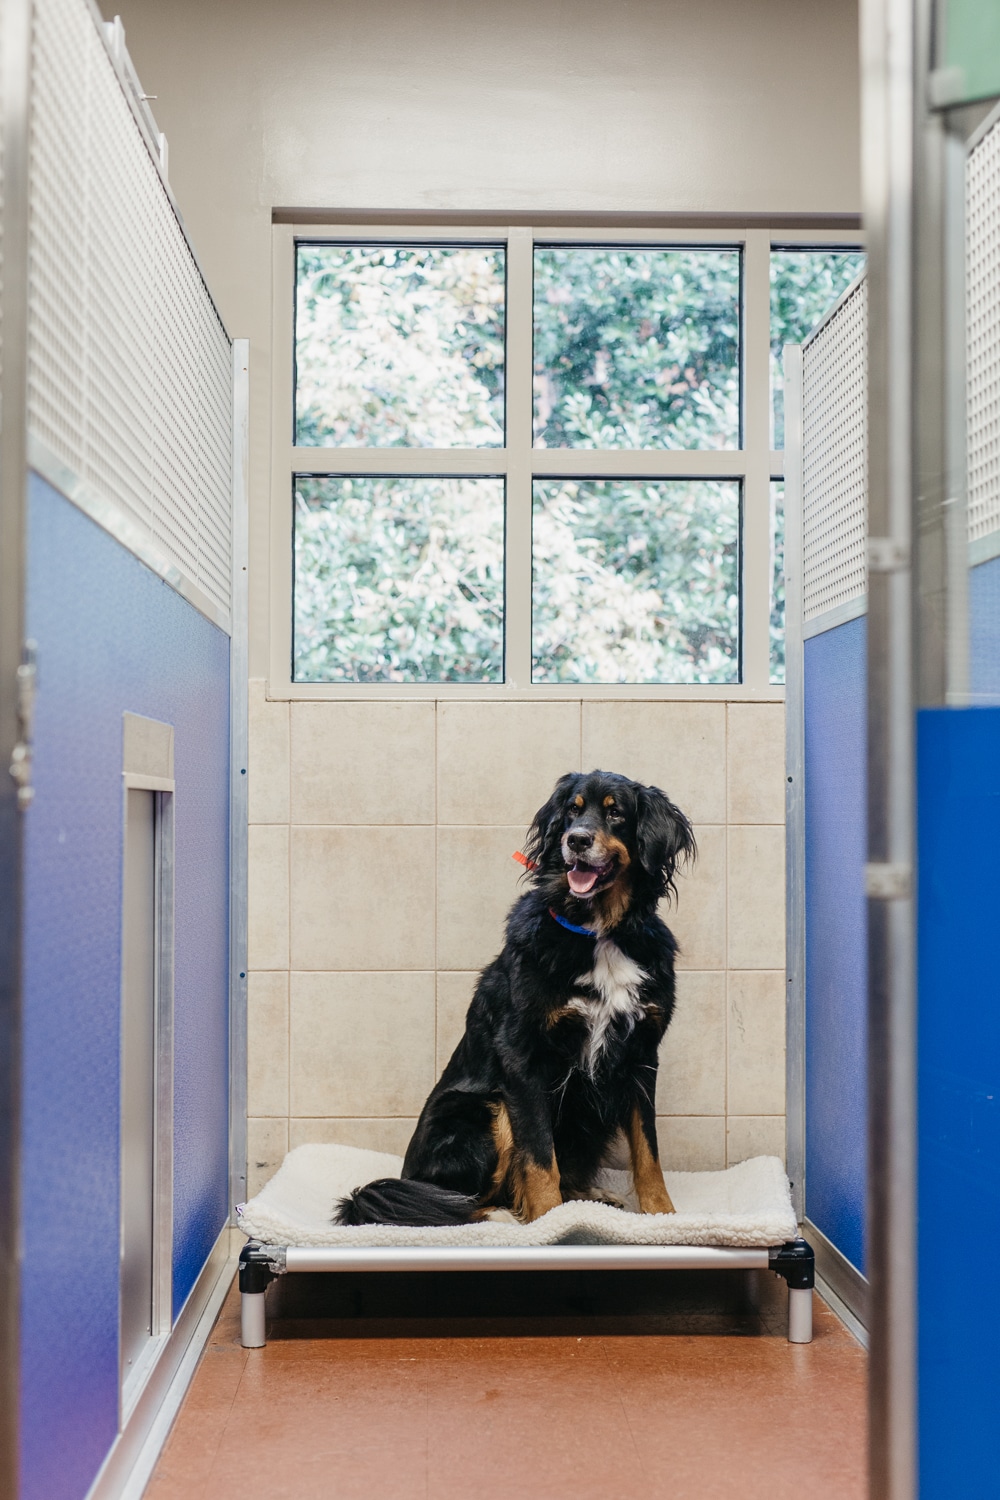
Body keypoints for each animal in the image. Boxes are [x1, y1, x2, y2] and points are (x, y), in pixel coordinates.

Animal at [335, 768, 695, 1224]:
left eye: (616, 813)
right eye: (572, 810)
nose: (576, 840)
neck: (599, 931)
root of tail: (407, 1174)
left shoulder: (642, 1052)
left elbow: (648, 1151)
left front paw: (663, 1216)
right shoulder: (523, 1054)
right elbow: (539, 1156)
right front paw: (551, 1220)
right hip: (484, 1110)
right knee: (444, 1202)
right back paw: (495, 1214)